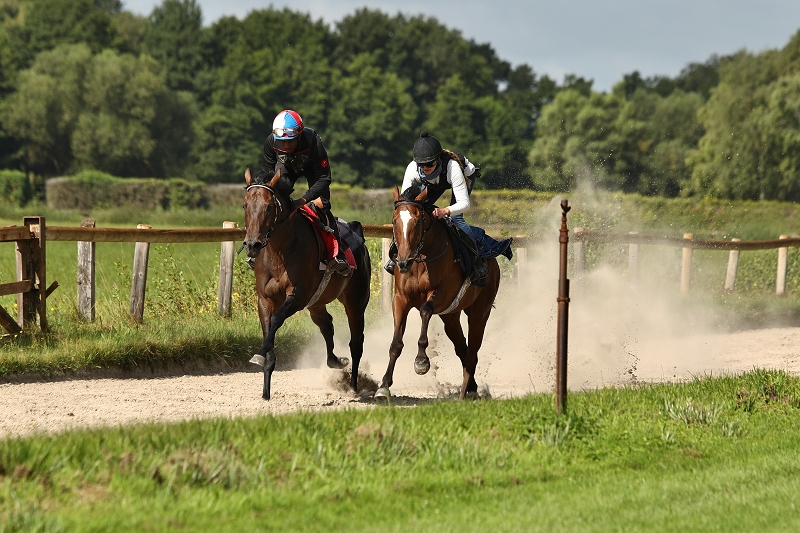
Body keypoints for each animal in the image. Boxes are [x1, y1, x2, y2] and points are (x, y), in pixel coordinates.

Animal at [242, 166, 371, 400]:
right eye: (245, 205)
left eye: (269, 206)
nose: (252, 244)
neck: (279, 251)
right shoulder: (264, 299)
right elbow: (269, 331)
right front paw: (265, 389)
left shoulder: (298, 296)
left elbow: (277, 319)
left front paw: (258, 355)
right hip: (317, 303)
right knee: (327, 325)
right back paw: (335, 361)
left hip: (355, 302)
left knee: (356, 343)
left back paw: (353, 386)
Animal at [375, 185, 501, 400]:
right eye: (394, 220)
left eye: (418, 221)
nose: (403, 262)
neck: (419, 259)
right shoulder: (400, 299)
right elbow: (396, 343)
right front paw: (384, 386)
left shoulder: (442, 295)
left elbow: (425, 311)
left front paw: (421, 361)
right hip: (451, 316)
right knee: (462, 347)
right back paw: (471, 387)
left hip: (480, 311)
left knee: (473, 350)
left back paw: (466, 390)